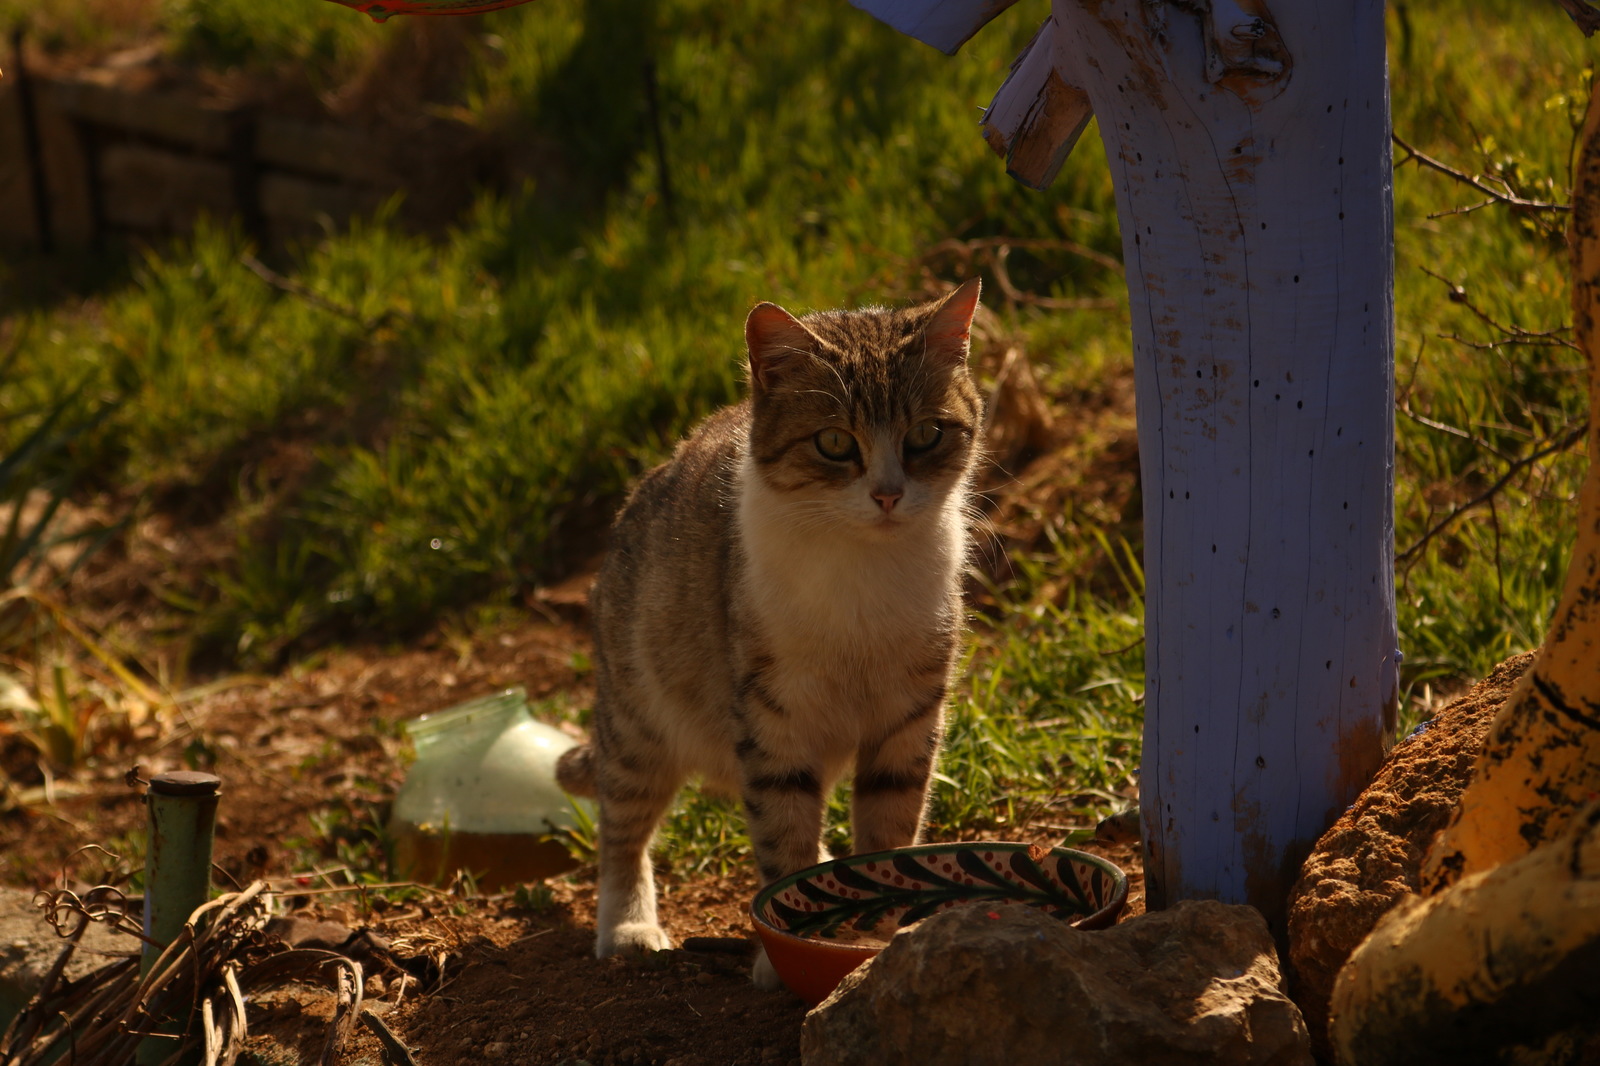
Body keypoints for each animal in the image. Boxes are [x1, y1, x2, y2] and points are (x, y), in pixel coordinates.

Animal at [563, 278, 985, 985]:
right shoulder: (774, 718)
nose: (889, 494)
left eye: (926, 434)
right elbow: (784, 839)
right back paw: (627, 925)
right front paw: (783, 950)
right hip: (638, 724)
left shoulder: (908, 718)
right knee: (621, 828)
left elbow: (887, 828)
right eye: (835, 443)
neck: (862, 571)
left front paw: (877, 940)